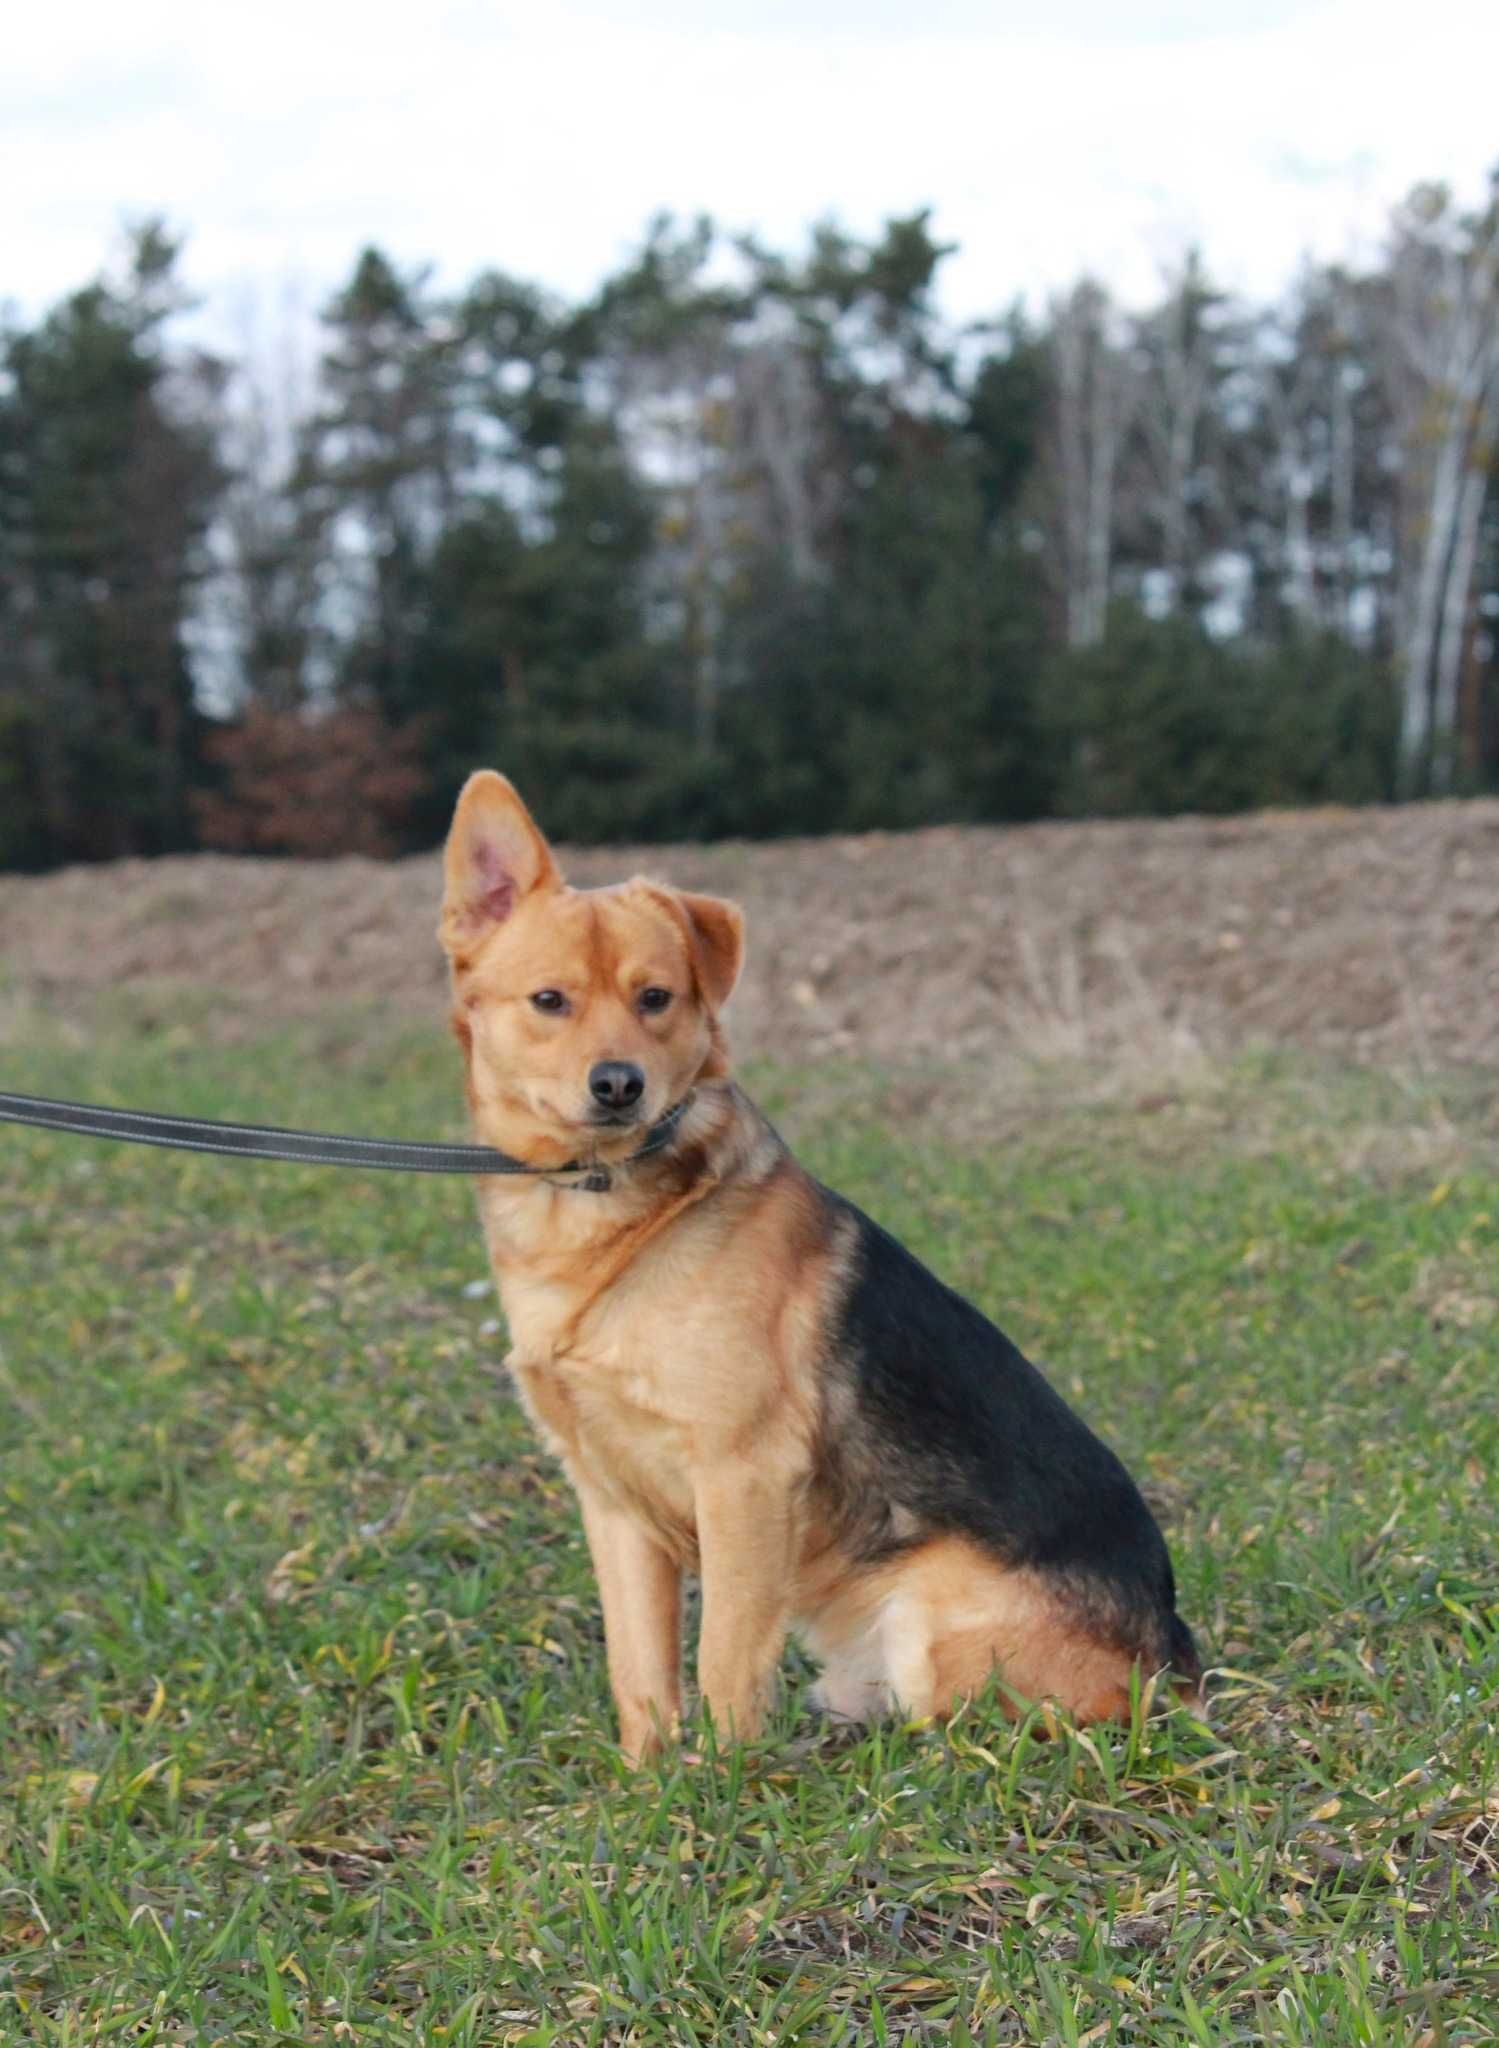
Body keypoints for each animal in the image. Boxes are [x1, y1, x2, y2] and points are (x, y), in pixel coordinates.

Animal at [438, 770, 1204, 1761]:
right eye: (547, 1001)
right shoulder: (612, 1505)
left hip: (927, 1618)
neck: (611, 1213)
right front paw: (649, 1780)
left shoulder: (743, 1477)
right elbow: (639, 1676)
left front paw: (723, 1779)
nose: (617, 1085)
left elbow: (725, 1659)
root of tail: (1175, 1663)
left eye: (657, 998)